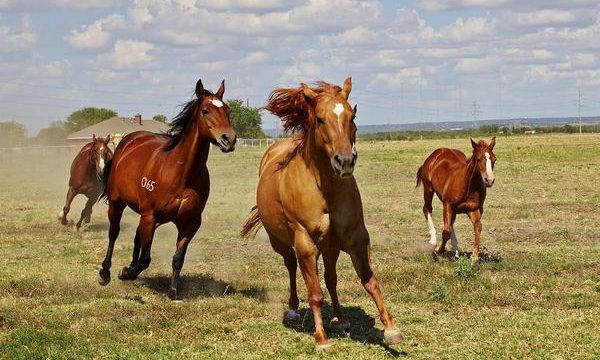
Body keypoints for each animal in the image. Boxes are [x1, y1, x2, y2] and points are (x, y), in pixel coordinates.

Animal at [97, 79, 236, 300]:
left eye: (228, 110)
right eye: (205, 111)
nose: (229, 139)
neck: (180, 174)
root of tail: (128, 141)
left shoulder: (190, 223)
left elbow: (178, 258)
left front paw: (173, 291)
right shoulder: (150, 216)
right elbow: (146, 259)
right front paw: (126, 273)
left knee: (137, 236)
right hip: (118, 203)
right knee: (114, 232)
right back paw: (106, 272)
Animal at [240, 77, 404, 350]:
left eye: (352, 115)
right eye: (319, 119)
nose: (345, 161)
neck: (324, 189)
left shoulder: (356, 238)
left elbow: (369, 280)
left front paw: (391, 329)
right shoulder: (305, 243)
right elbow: (315, 293)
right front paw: (321, 338)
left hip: (330, 248)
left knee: (330, 278)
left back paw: (340, 318)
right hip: (283, 243)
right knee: (292, 267)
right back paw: (294, 310)